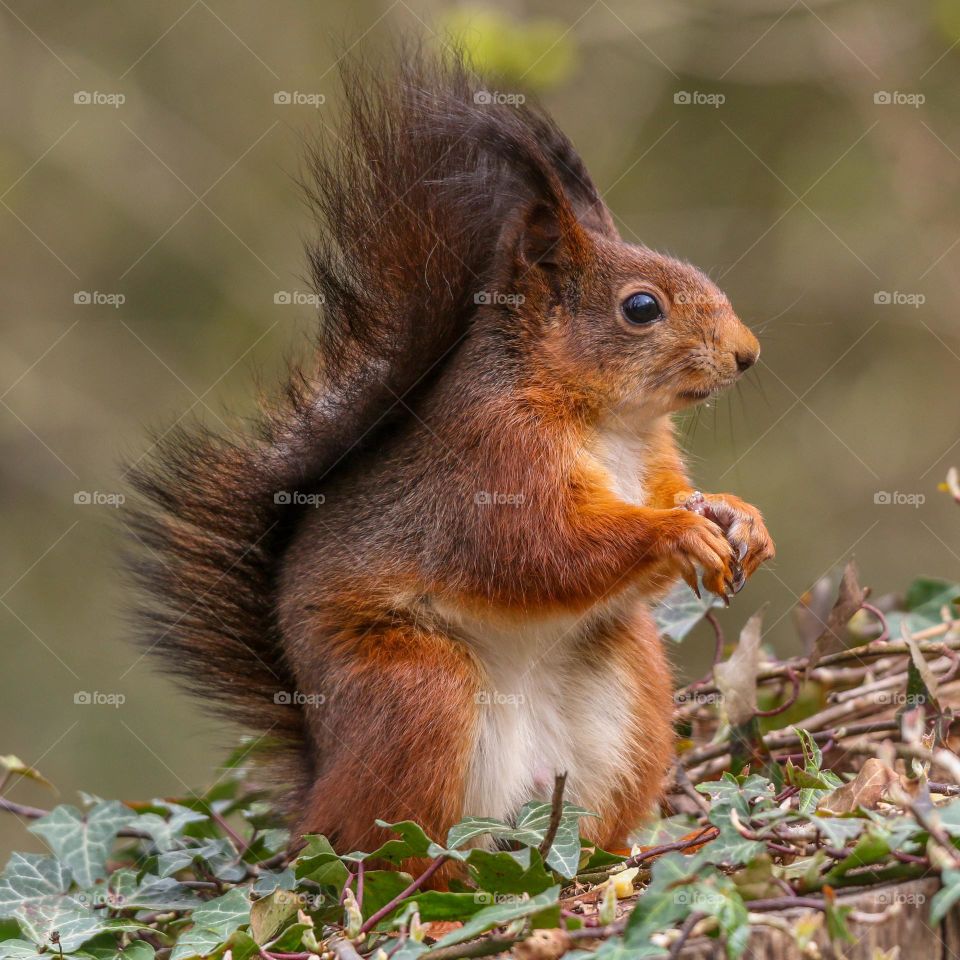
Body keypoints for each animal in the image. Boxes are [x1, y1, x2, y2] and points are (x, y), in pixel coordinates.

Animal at [127, 50, 772, 876]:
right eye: (641, 308)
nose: (748, 354)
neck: (610, 422)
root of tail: (315, 796)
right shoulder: (494, 460)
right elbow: (538, 549)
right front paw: (676, 535)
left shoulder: (653, 460)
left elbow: (670, 498)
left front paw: (739, 519)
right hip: (414, 691)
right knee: (379, 847)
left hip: (627, 684)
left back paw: (604, 858)